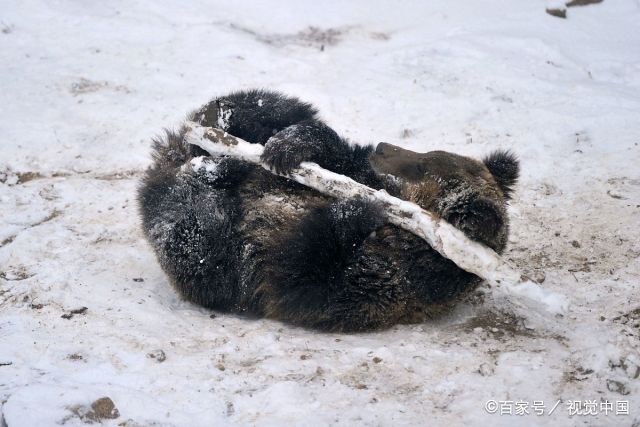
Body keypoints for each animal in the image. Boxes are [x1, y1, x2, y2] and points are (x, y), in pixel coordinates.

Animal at [138, 89, 519, 332]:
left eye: (421, 165)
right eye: (428, 153)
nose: (382, 147)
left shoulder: (380, 287)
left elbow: (299, 274)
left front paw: (358, 210)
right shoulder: (357, 172)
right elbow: (333, 154)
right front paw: (293, 146)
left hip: (214, 257)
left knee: (196, 244)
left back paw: (213, 173)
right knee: (272, 106)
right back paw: (224, 125)